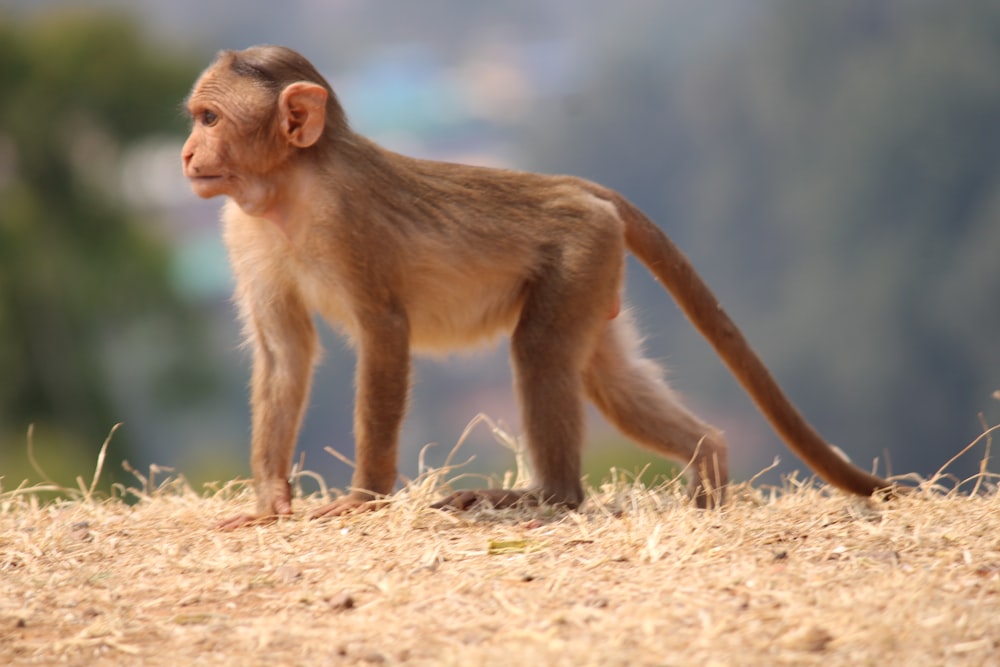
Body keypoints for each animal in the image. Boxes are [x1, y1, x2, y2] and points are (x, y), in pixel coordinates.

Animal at [180, 44, 892, 528]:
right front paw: (268, 499)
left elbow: (384, 333)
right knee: (607, 376)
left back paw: (549, 497)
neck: (291, 186)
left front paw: (364, 498)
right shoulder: (241, 233)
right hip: (597, 269)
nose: (187, 154)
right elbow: (284, 352)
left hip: (578, 254)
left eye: (210, 118)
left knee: (541, 351)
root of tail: (576, 189)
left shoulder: (345, 219)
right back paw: (708, 461)